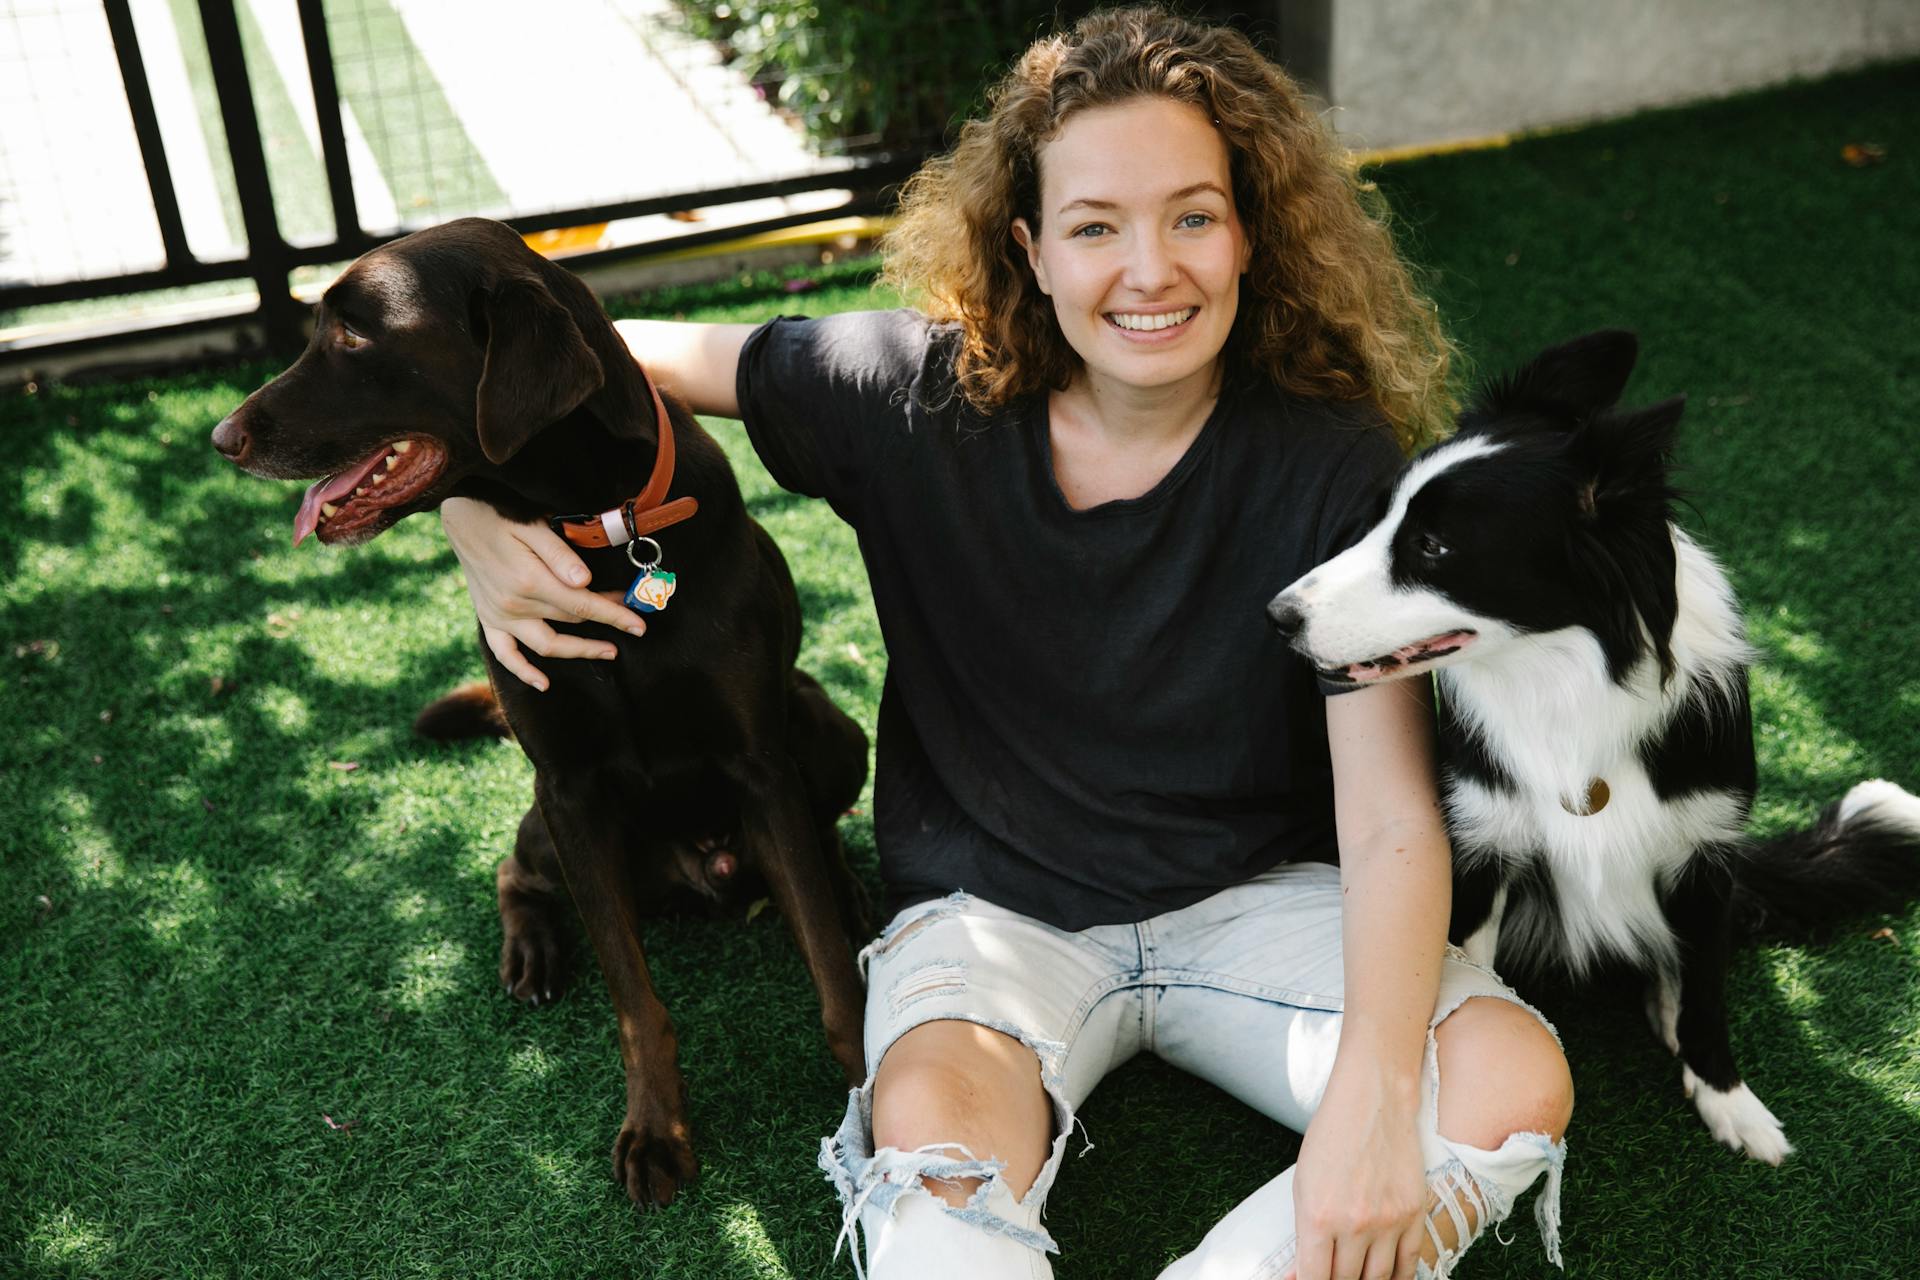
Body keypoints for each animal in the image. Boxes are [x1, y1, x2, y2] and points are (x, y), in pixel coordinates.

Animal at [214, 214, 867, 1205]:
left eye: (354, 334)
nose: (221, 436)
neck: (602, 531)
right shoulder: (569, 788)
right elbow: (635, 999)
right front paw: (656, 1133)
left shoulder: (761, 764)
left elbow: (831, 973)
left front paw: (875, 1083)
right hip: (546, 826)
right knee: (511, 871)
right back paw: (530, 952)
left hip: (825, 727)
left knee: (817, 848)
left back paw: (849, 888)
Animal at [1274, 330, 1920, 1159]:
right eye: (1381, 517)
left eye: (1433, 546)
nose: (1278, 616)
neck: (1566, 681)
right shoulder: (1482, 848)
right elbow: (1477, 978)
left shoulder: (1704, 853)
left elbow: (1708, 992)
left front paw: (1729, 1101)